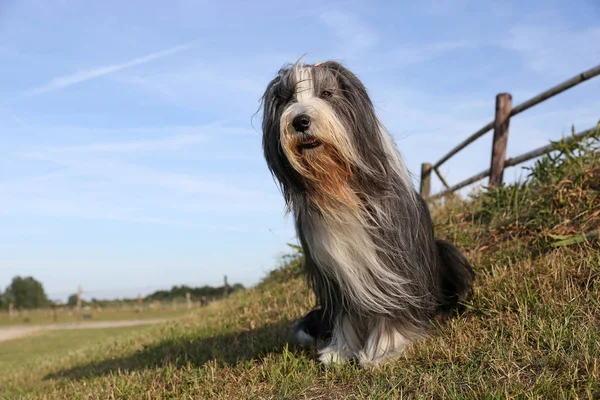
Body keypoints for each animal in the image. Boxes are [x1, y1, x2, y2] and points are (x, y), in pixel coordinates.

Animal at [260, 57, 476, 368]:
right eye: (288, 99)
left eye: (327, 93)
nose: (300, 121)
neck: (340, 183)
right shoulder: (335, 272)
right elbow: (345, 315)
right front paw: (339, 352)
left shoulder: (391, 264)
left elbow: (391, 311)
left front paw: (382, 351)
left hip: (445, 253)